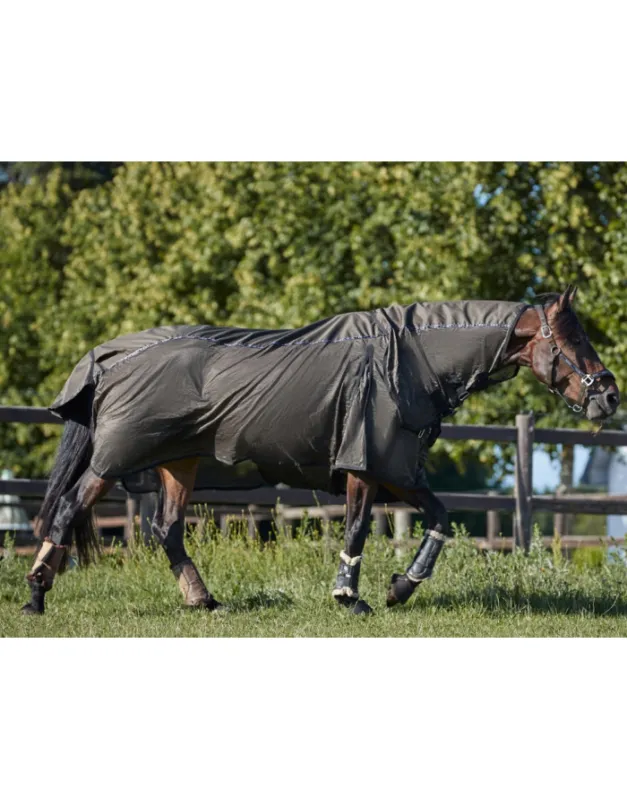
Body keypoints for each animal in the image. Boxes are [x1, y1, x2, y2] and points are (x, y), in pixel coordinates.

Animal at [21, 285, 620, 616]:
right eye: (575, 340)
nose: (610, 395)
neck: (410, 359)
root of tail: (110, 357)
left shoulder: (397, 470)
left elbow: (440, 518)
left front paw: (400, 588)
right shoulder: (365, 466)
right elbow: (355, 530)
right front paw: (350, 597)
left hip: (178, 463)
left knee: (166, 529)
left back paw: (203, 601)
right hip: (114, 460)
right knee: (69, 508)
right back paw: (35, 595)